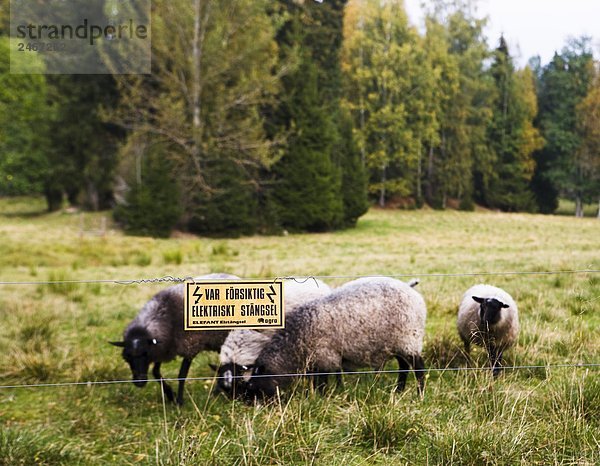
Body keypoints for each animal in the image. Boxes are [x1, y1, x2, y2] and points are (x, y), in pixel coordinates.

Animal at [109, 274, 240, 404]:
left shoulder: (190, 346)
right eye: (127, 358)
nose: (139, 382)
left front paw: (179, 401)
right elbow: (156, 372)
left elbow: (182, 375)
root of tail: (235, 277)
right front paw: (170, 394)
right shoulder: (163, 349)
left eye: (145, 354)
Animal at [238, 276, 426, 400]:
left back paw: (419, 394)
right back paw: (399, 390)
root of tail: (411, 291)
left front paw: (321, 398)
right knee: (403, 367)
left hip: (409, 338)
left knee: (419, 368)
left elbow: (322, 382)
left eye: (253, 385)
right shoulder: (318, 361)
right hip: (398, 344)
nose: (248, 403)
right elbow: (318, 380)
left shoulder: (324, 357)